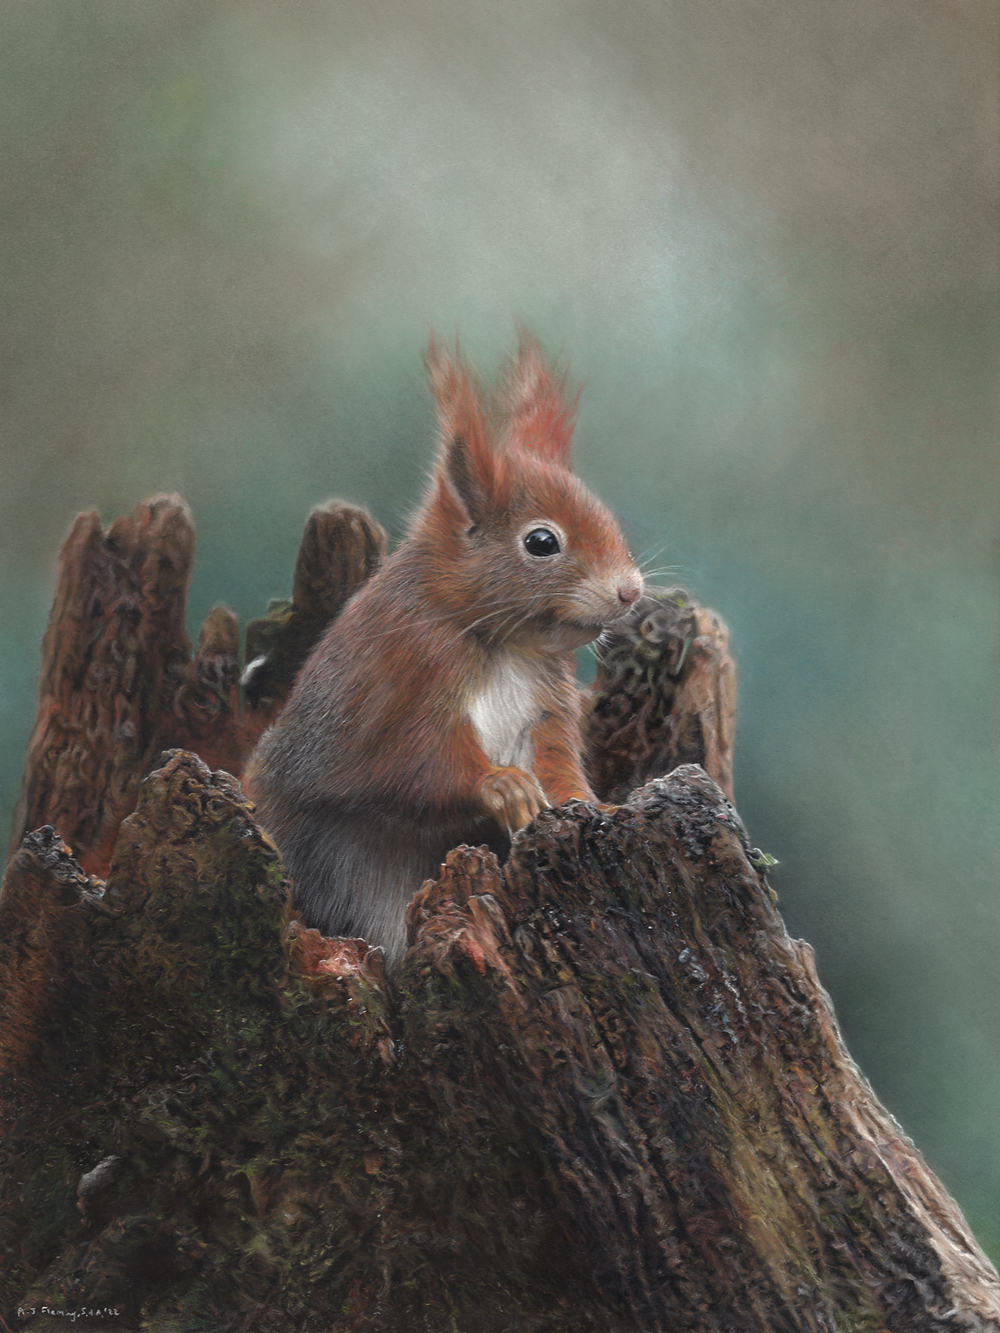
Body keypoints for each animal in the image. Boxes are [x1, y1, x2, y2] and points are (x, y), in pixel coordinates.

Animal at [246, 338, 645, 970]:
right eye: (541, 542)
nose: (631, 592)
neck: (506, 645)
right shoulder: (405, 675)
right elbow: (411, 763)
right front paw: (501, 785)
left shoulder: (547, 706)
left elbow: (558, 764)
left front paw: (594, 806)